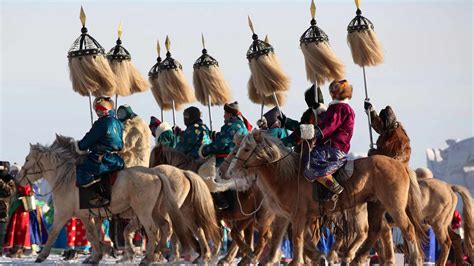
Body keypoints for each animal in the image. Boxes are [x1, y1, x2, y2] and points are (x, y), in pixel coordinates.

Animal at [14, 135, 196, 264]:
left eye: (27, 159)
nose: (17, 179)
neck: (66, 178)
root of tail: (156, 173)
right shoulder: (93, 216)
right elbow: (94, 235)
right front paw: (99, 253)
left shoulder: (66, 214)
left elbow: (56, 232)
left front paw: (42, 256)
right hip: (156, 211)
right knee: (166, 228)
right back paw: (162, 252)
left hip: (144, 212)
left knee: (153, 230)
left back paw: (149, 258)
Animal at [227, 131, 426, 266]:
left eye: (246, 149)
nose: (230, 171)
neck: (287, 176)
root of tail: (401, 165)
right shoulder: (285, 216)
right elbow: (282, 238)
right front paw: (315, 257)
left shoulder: (298, 215)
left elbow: (297, 238)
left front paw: (299, 260)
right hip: (375, 205)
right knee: (375, 230)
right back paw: (356, 258)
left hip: (394, 206)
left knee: (407, 228)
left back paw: (415, 259)